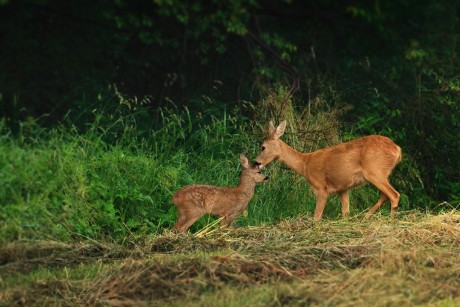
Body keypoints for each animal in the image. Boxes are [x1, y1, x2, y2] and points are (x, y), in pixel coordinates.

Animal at [253, 121, 400, 221]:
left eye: (263, 147)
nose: (256, 162)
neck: (305, 165)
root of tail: (397, 149)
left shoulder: (320, 188)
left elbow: (316, 217)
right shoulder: (343, 189)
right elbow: (345, 212)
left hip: (374, 171)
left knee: (394, 195)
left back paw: (390, 222)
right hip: (382, 173)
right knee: (385, 195)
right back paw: (366, 218)